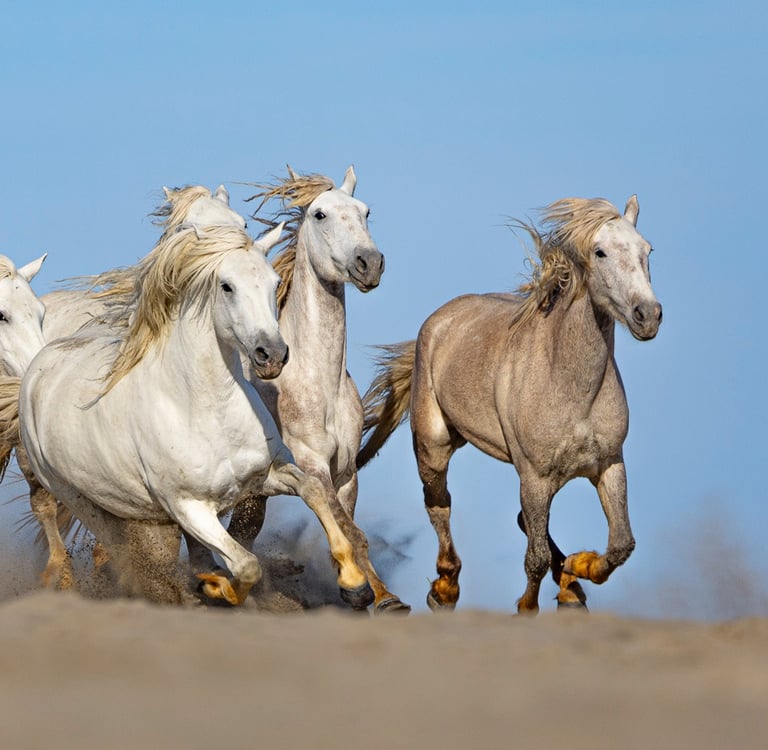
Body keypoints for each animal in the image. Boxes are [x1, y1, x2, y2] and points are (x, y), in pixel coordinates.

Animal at [3, 222, 375, 607]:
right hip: (79, 499)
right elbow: (247, 566)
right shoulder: (188, 507)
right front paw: (218, 588)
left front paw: (354, 583)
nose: (271, 353)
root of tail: (35, 366)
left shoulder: (264, 475)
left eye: (273, 283)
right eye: (227, 286)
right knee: (122, 552)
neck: (206, 408)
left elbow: (313, 491)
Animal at [204, 165, 410, 613]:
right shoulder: (312, 466)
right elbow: (352, 531)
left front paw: (381, 596)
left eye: (366, 211)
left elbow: (353, 533)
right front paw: (363, 591)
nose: (369, 263)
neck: (318, 384)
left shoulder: (346, 474)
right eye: (319, 214)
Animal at [356, 195, 662, 614]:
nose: (648, 315)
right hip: (434, 445)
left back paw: (570, 586)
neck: (571, 387)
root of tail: (440, 319)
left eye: (647, 250)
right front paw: (529, 607)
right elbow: (535, 558)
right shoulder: (534, 475)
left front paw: (579, 568)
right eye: (600, 252)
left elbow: (620, 545)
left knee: (525, 523)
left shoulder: (609, 464)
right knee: (439, 505)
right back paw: (443, 590)